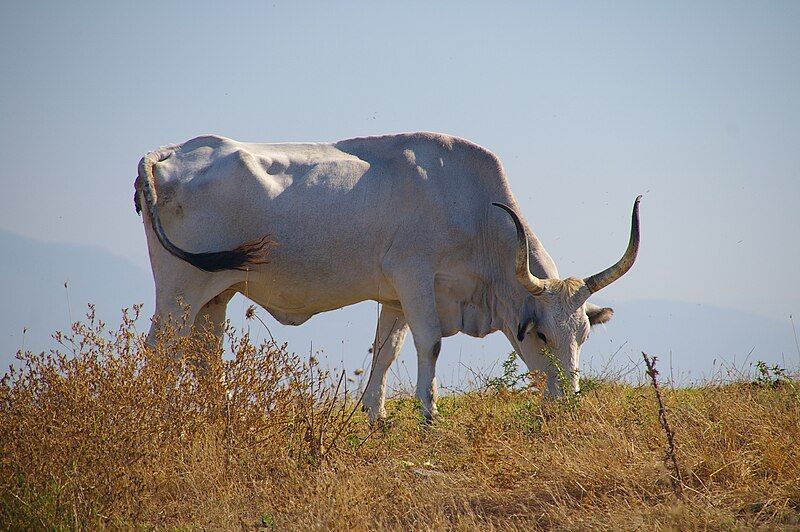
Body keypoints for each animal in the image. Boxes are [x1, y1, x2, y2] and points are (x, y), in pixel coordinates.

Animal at [134, 134, 640, 424]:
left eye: (583, 336)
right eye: (541, 335)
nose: (570, 402)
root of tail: (167, 153)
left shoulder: (395, 298)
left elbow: (386, 350)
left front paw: (375, 416)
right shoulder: (414, 278)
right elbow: (429, 344)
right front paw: (428, 415)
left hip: (214, 295)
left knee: (205, 356)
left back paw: (221, 418)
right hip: (179, 292)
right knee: (160, 348)